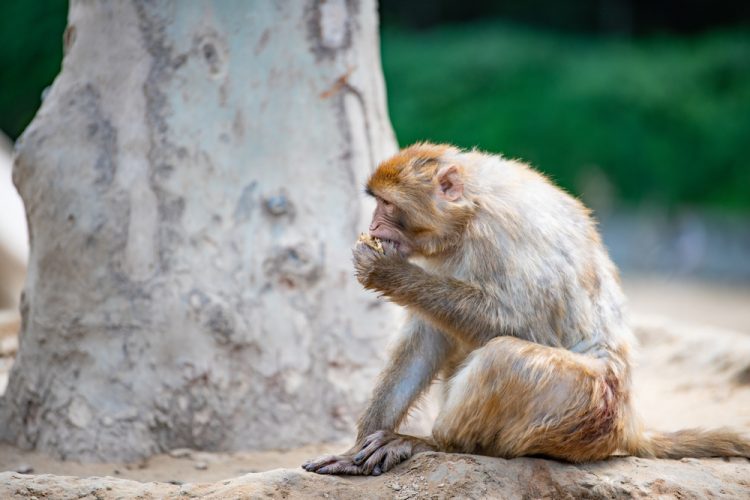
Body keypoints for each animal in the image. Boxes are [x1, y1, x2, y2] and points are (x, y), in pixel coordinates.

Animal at [302, 143, 748, 474]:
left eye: (388, 205)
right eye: (377, 203)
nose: (373, 228)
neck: (468, 211)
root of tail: (629, 424)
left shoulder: (499, 233)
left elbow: (518, 325)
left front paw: (385, 271)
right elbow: (426, 339)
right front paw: (354, 448)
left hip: (588, 411)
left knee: (504, 358)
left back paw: (433, 445)